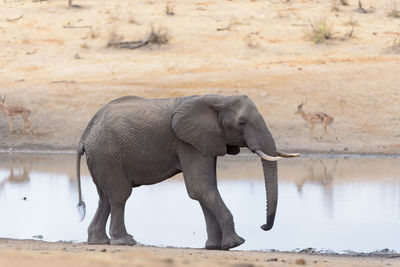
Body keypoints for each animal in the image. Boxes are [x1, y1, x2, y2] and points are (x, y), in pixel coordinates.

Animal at [76, 94, 300, 251]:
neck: (217, 98)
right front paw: (235, 243)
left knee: (105, 198)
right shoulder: (187, 143)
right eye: (242, 123)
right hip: (108, 154)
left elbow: (204, 189)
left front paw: (214, 247)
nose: (262, 226)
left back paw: (98, 241)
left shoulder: (207, 141)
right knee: (120, 195)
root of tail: (85, 134)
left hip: (101, 158)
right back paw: (125, 241)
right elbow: (201, 188)